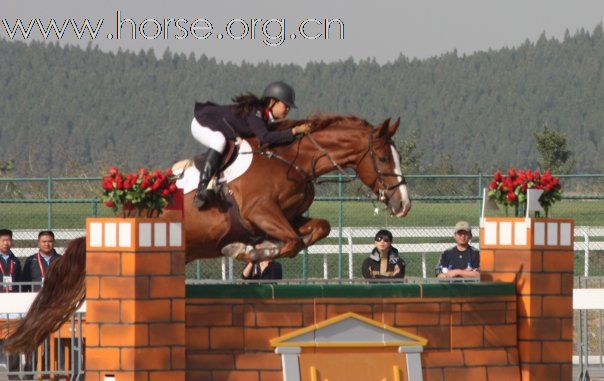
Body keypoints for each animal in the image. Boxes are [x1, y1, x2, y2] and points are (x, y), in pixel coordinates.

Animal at [3, 113, 410, 354]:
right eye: (383, 158)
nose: (403, 203)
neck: (294, 160)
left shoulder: (289, 217)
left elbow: (314, 231)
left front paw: (255, 251)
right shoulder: (261, 212)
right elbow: (290, 241)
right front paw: (250, 253)